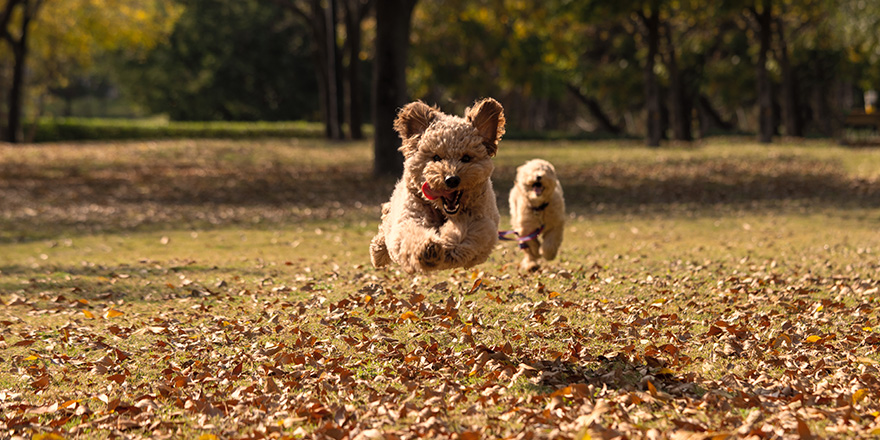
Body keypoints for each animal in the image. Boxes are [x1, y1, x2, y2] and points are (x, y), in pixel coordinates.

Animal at [372, 98, 506, 274]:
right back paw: (378, 252)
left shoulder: (481, 221)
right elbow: (409, 232)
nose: (452, 179)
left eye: (466, 158)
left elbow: (465, 235)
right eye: (436, 157)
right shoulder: (411, 214)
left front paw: (446, 247)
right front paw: (427, 250)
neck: (442, 210)